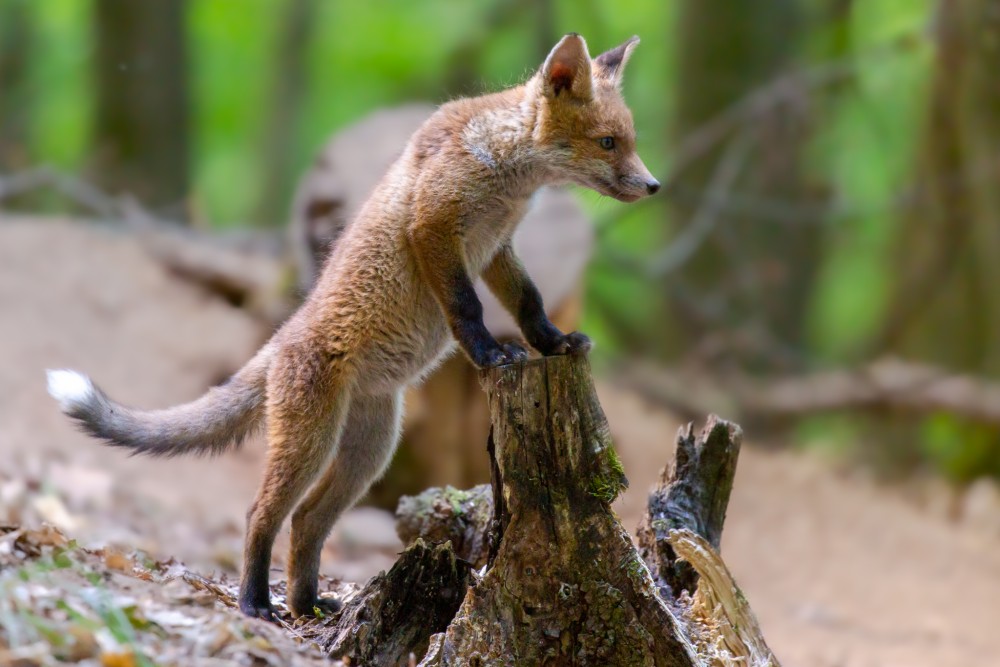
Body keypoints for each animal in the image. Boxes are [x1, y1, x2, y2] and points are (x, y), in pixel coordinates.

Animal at [47, 34, 660, 620]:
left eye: (630, 140)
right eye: (609, 143)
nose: (654, 186)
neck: (506, 172)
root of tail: (279, 340)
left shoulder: (495, 248)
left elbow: (530, 301)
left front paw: (554, 344)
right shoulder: (434, 227)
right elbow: (467, 310)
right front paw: (489, 354)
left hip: (370, 451)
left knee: (308, 520)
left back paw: (307, 605)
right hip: (312, 441)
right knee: (260, 514)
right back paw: (256, 603)